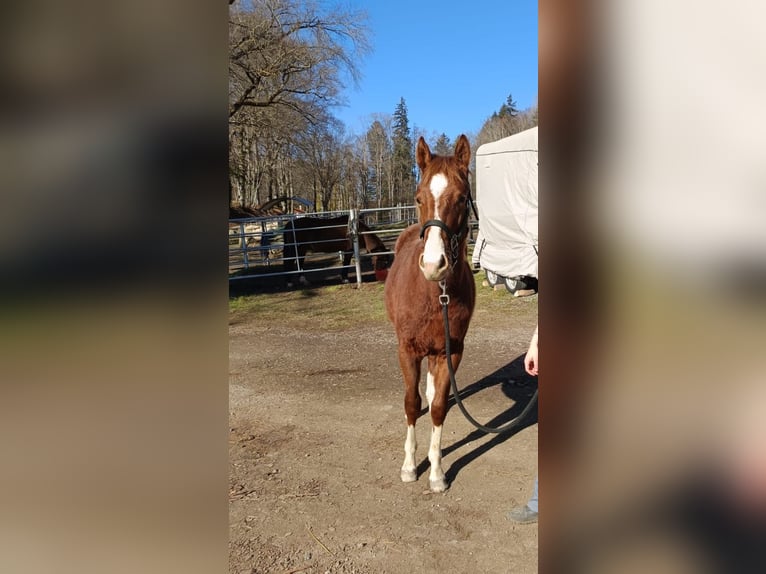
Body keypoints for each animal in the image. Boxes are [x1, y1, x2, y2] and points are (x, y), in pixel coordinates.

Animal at [384, 134, 476, 493]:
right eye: (418, 197)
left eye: (462, 198)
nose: (435, 264)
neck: (437, 295)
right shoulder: (407, 350)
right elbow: (411, 403)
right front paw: (410, 466)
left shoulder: (450, 352)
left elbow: (438, 407)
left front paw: (437, 472)